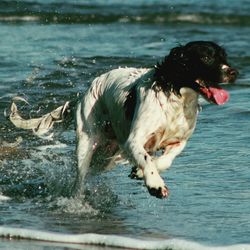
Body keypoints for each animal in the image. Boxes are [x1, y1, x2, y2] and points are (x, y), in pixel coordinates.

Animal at [8, 41, 237, 199]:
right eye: (206, 57)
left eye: (224, 56)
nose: (234, 72)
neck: (175, 97)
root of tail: (83, 94)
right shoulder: (134, 140)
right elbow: (146, 158)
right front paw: (155, 184)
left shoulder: (178, 141)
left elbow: (166, 160)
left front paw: (140, 172)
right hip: (87, 143)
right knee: (79, 179)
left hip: (107, 156)